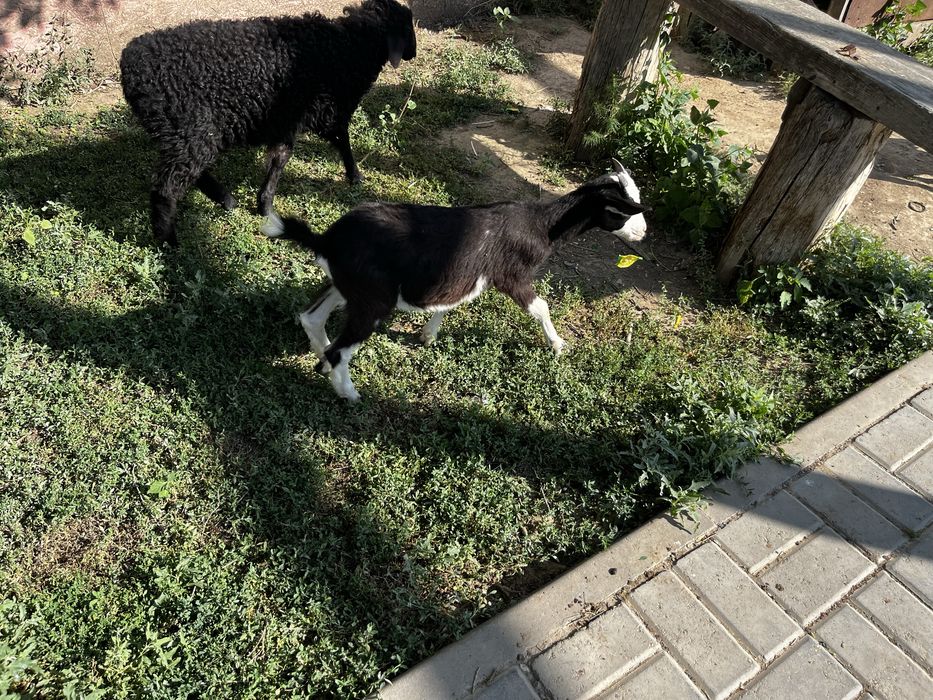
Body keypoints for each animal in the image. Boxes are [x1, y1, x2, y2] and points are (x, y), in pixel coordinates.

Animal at [120, 0, 417, 246]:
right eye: (407, 27)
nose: (412, 53)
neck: (349, 45)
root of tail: (130, 67)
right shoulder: (330, 111)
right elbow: (342, 142)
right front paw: (355, 177)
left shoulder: (286, 119)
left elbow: (279, 159)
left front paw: (265, 206)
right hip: (191, 128)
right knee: (166, 190)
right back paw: (168, 241)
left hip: (183, 134)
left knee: (193, 172)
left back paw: (227, 201)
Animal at [262, 159, 648, 401]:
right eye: (621, 209)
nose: (643, 233)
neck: (542, 224)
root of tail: (326, 240)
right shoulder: (512, 275)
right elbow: (540, 307)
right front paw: (559, 345)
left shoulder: (465, 273)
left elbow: (452, 301)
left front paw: (428, 335)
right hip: (372, 301)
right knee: (340, 348)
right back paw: (349, 392)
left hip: (349, 287)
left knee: (312, 318)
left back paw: (321, 360)